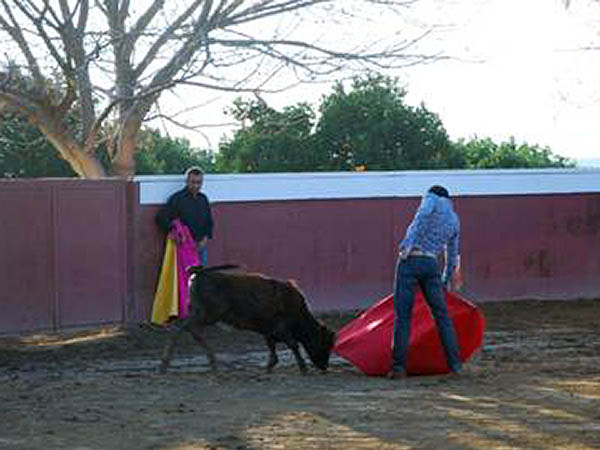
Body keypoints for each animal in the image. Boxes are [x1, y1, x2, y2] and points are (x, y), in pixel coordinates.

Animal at [158, 266, 338, 374]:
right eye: (325, 343)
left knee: (189, 329)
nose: (324, 367)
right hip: (207, 314)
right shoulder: (281, 328)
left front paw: (269, 366)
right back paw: (168, 364)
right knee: (184, 328)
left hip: (202, 314)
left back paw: (210, 362)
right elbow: (293, 344)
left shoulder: (269, 331)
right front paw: (303, 368)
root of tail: (201, 273)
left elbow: (272, 347)